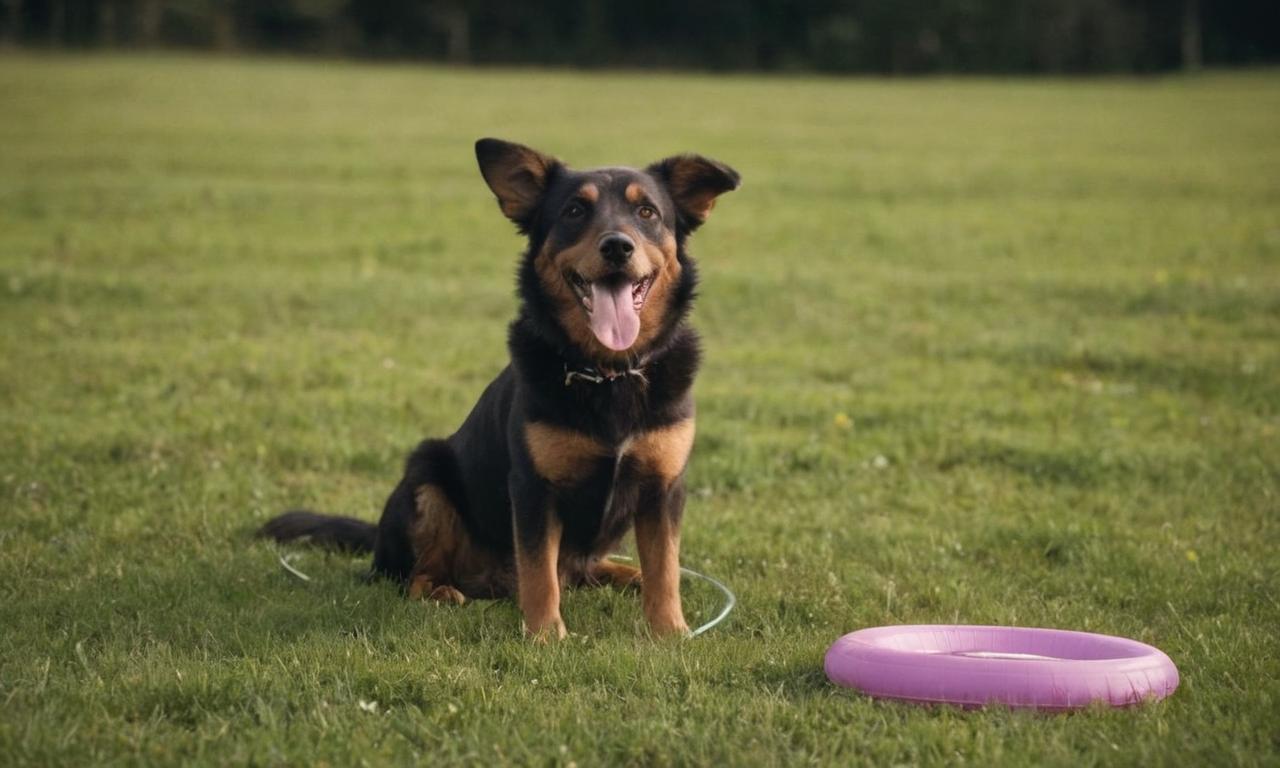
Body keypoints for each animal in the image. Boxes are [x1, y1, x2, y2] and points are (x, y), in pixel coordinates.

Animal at [259, 139, 742, 642]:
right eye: (574, 210)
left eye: (647, 211)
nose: (617, 246)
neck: (608, 371)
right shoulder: (532, 488)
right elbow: (539, 573)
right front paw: (546, 636)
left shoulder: (663, 488)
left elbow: (664, 568)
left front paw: (670, 632)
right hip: (427, 479)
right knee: (416, 576)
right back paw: (442, 591)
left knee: (591, 568)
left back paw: (626, 574)